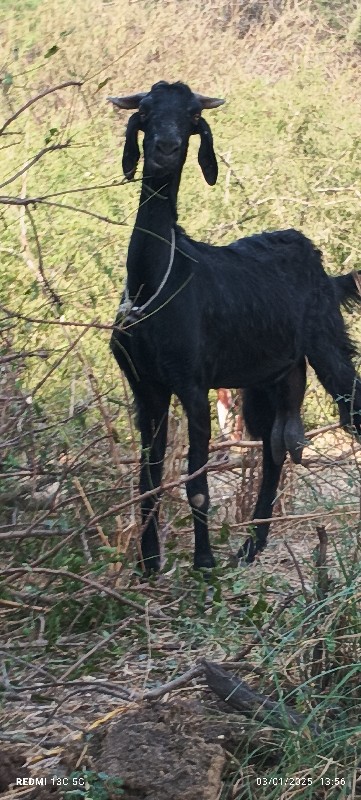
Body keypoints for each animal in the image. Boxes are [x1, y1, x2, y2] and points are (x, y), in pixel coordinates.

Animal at [107, 81, 360, 572]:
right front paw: (148, 564)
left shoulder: (191, 383)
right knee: (276, 447)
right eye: (145, 112)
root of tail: (325, 271)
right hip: (270, 378)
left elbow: (197, 483)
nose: (165, 149)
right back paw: (250, 547)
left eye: (191, 118)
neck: (156, 279)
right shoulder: (146, 387)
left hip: (327, 346)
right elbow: (148, 478)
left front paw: (204, 561)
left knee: (350, 409)